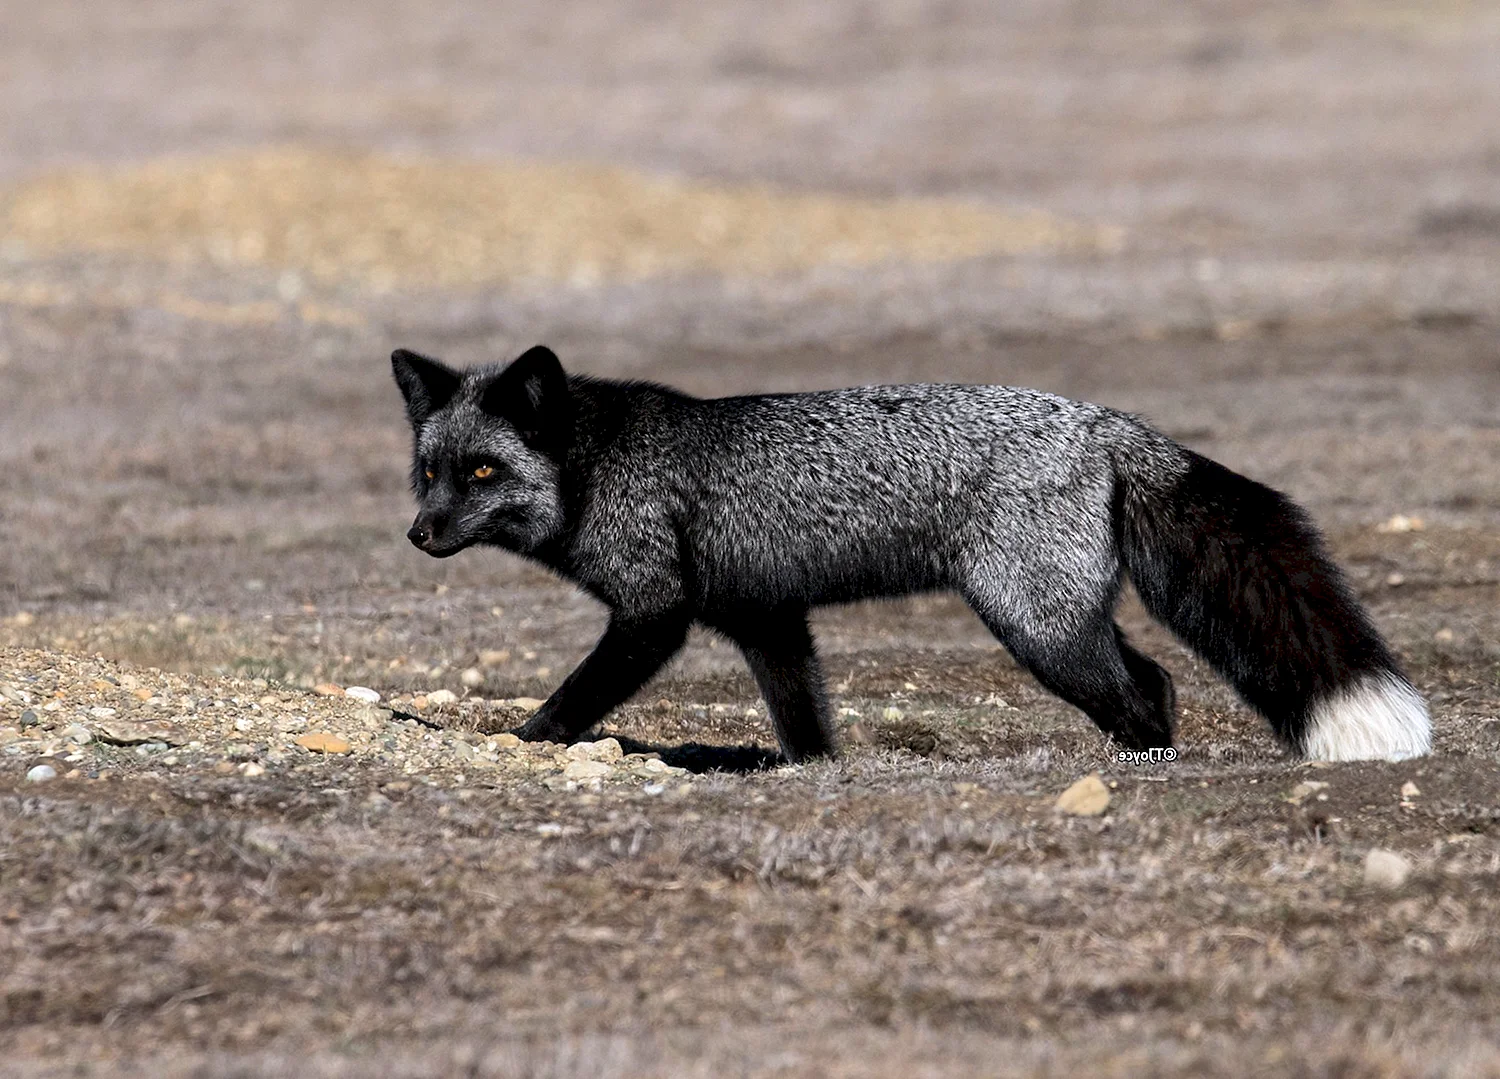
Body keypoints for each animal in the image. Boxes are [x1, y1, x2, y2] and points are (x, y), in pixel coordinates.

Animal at [393, 342, 1434, 765]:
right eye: (430, 472)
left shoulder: (654, 614)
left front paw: (525, 741)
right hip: (1057, 621)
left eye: (483, 471)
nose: (420, 534)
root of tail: (1106, 420)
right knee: (1156, 681)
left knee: (1142, 692)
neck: (602, 463)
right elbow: (803, 714)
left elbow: (578, 693)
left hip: (1036, 627)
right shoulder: (763, 616)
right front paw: (814, 773)